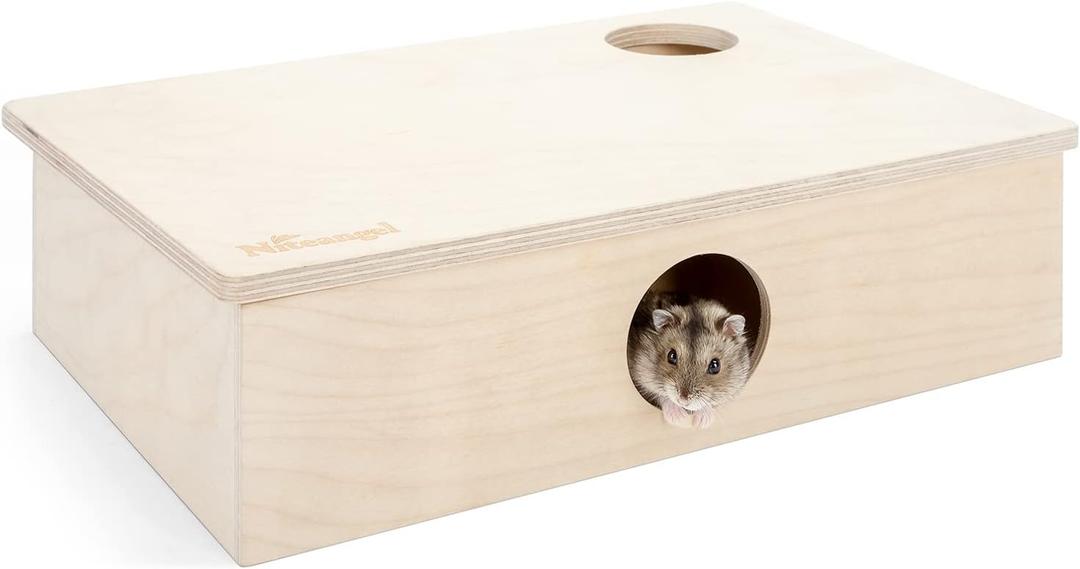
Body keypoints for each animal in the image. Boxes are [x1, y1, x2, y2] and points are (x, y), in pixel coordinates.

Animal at [627, 292, 752, 429]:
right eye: (671, 356)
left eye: (715, 365)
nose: (683, 400)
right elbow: (659, 394)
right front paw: (679, 419)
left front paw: (702, 422)